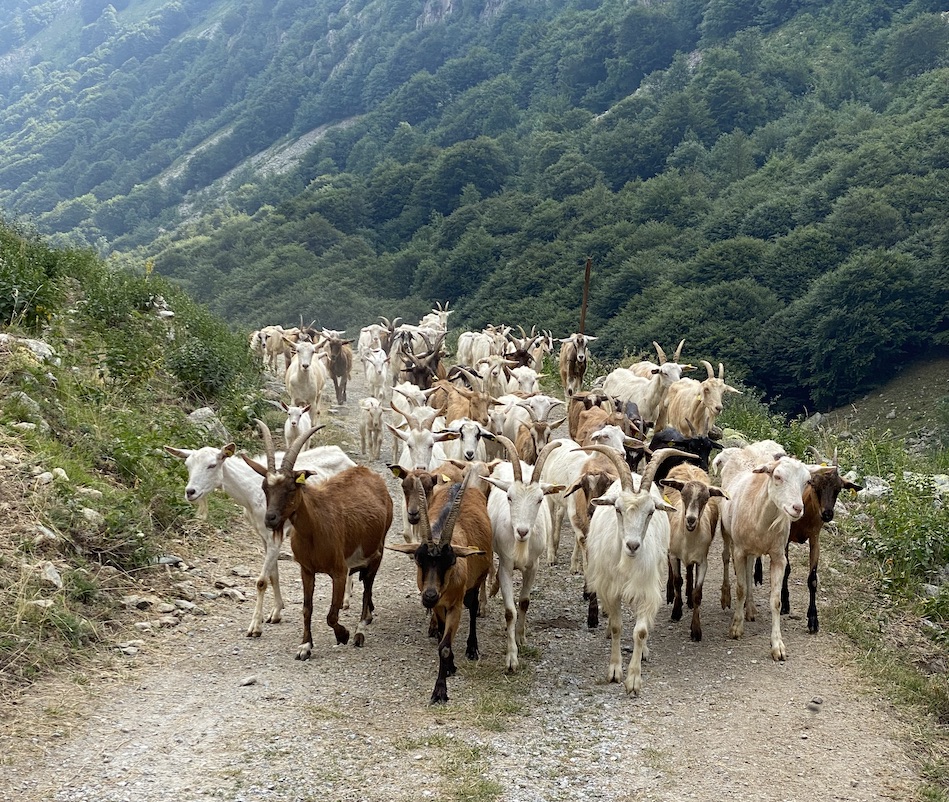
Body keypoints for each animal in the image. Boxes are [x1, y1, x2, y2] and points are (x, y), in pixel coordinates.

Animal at [163, 434, 356, 636]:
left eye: (212, 465)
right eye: (188, 465)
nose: (190, 492)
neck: (251, 489)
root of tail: (344, 456)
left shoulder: (275, 536)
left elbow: (262, 581)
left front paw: (255, 626)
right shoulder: (263, 536)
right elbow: (273, 575)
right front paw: (276, 612)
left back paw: (346, 600)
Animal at [244, 418, 396, 656]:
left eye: (292, 487)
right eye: (265, 487)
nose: (270, 519)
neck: (313, 532)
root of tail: (369, 474)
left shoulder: (339, 571)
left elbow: (332, 615)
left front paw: (343, 634)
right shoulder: (307, 570)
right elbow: (307, 608)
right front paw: (305, 645)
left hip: (378, 549)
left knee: (367, 588)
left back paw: (360, 630)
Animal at [386, 468, 492, 700]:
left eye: (451, 561)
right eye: (419, 559)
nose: (429, 596)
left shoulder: (454, 605)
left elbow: (443, 646)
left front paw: (440, 691)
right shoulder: (438, 606)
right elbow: (442, 637)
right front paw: (450, 666)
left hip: (476, 582)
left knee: (472, 607)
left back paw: (472, 648)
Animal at [482, 434, 564, 672]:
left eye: (539, 499)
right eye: (509, 497)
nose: (522, 531)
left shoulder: (533, 566)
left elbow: (525, 602)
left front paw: (521, 638)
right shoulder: (506, 565)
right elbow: (510, 611)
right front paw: (511, 659)